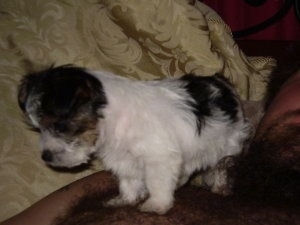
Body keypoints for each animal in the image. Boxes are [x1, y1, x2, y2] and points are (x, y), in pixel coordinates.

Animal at [17, 65, 250, 214]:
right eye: (38, 129)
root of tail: (221, 82)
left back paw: (220, 188)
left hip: (229, 142)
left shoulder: (158, 156)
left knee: (223, 166)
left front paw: (156, 204)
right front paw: (126, 199)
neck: (112, 119)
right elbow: (128, 180)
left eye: (59, 127)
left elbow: (156, 180)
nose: (46, 156)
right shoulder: (122, 157)